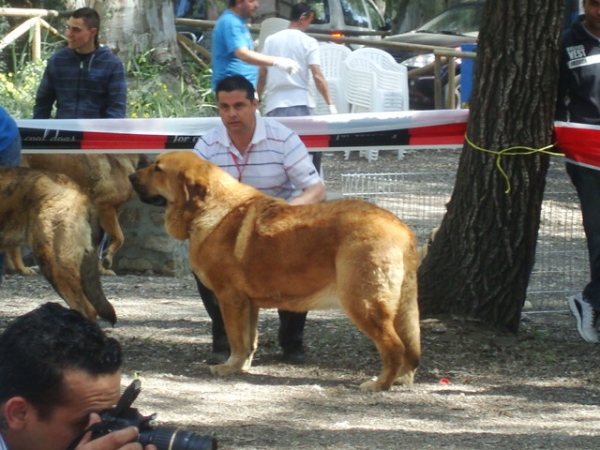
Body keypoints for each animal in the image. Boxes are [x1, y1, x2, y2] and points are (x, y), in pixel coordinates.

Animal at [10, 153, 149, 276]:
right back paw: (21, 268)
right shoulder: (106, 208)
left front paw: (101, 268)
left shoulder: (106, 214)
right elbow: (120, 237)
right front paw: (107, 258)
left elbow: (101, 244)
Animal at [131, 150, 422, 390]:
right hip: (399, 307)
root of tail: (401, 228)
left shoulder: (230, 299)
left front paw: (229, 367)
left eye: (158, 168)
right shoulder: (248, 304)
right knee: (409, 347)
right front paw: (242, 366)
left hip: (363, 303)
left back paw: (379, 384)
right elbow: (249, 340)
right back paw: (401, 379)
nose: (132, 175)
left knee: (394, 347)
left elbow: (236, 338)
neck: (207, 208)